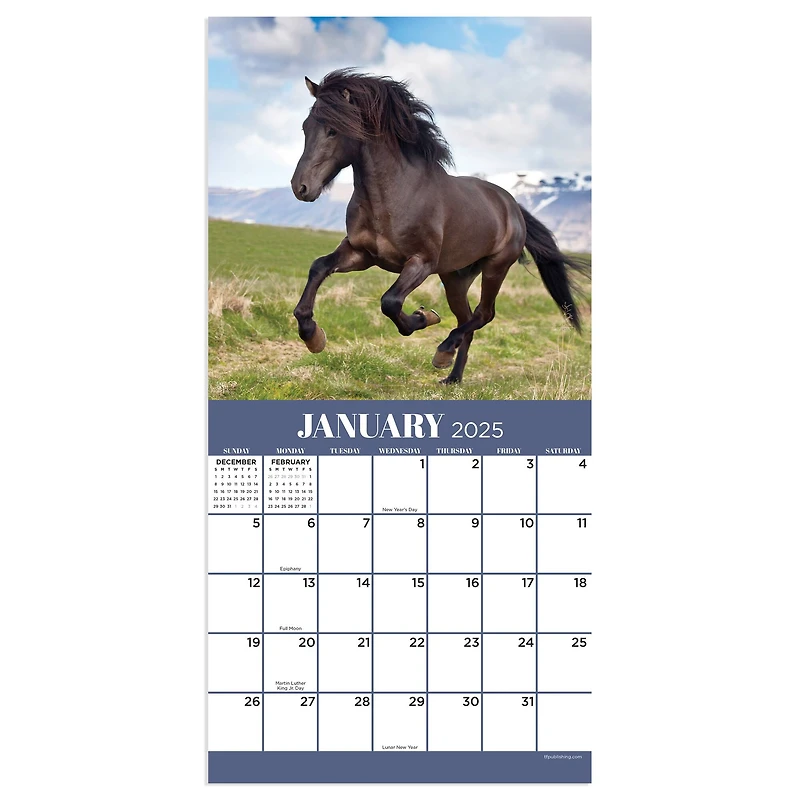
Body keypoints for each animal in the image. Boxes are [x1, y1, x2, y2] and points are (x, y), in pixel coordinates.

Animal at [290, 69, 588, 385]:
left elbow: (390, 301)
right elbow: (319, 267)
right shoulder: (361, 253)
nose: (301, 187)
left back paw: (444, 351)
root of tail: (512, 206)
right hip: (455, 278)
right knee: (467, 317)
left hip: (496, 267)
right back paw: (452, 376)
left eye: (333, 130)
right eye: (306, 127)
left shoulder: (421, 262)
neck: (395, 195)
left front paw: (424, 317)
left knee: (483, 314)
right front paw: (312, 335)